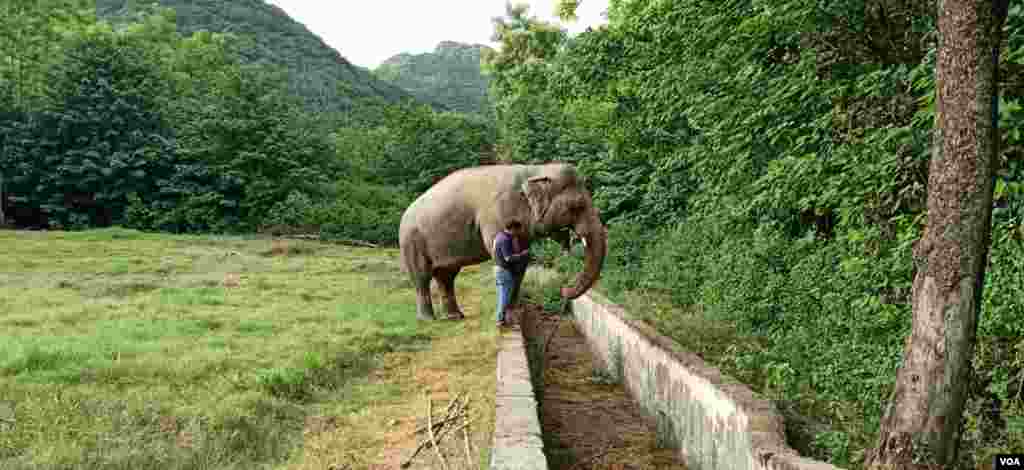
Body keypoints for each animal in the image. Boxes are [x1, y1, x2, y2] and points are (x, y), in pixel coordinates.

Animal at [397, 161, 606, 319]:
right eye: (576, 206)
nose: (563, 289)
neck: (535, 170)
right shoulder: (497, 214)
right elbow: (505, 255)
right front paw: (509, 315)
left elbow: (520, 264)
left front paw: (514, 311)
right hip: (412, 240)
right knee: (422, 277)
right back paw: (428, 319)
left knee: (446, 277)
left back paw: (455, 317)